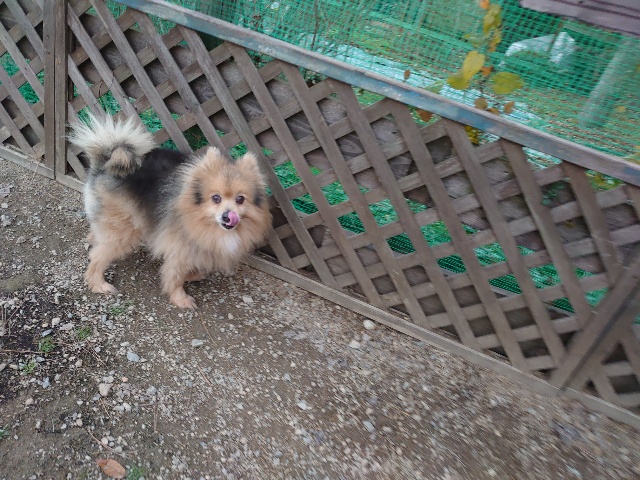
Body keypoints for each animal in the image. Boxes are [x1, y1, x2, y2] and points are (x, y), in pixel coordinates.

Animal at [68, 113, 272, 309]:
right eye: (216, 198)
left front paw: (193, 275)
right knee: (98, 255)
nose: (228, 216)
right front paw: (180, 297)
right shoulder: (180, 246)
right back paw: (98, 283)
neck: (200, 217)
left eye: (240, 199)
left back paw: (92, 239)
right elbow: (175, 274)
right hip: (123, 229)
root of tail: (106, 160)